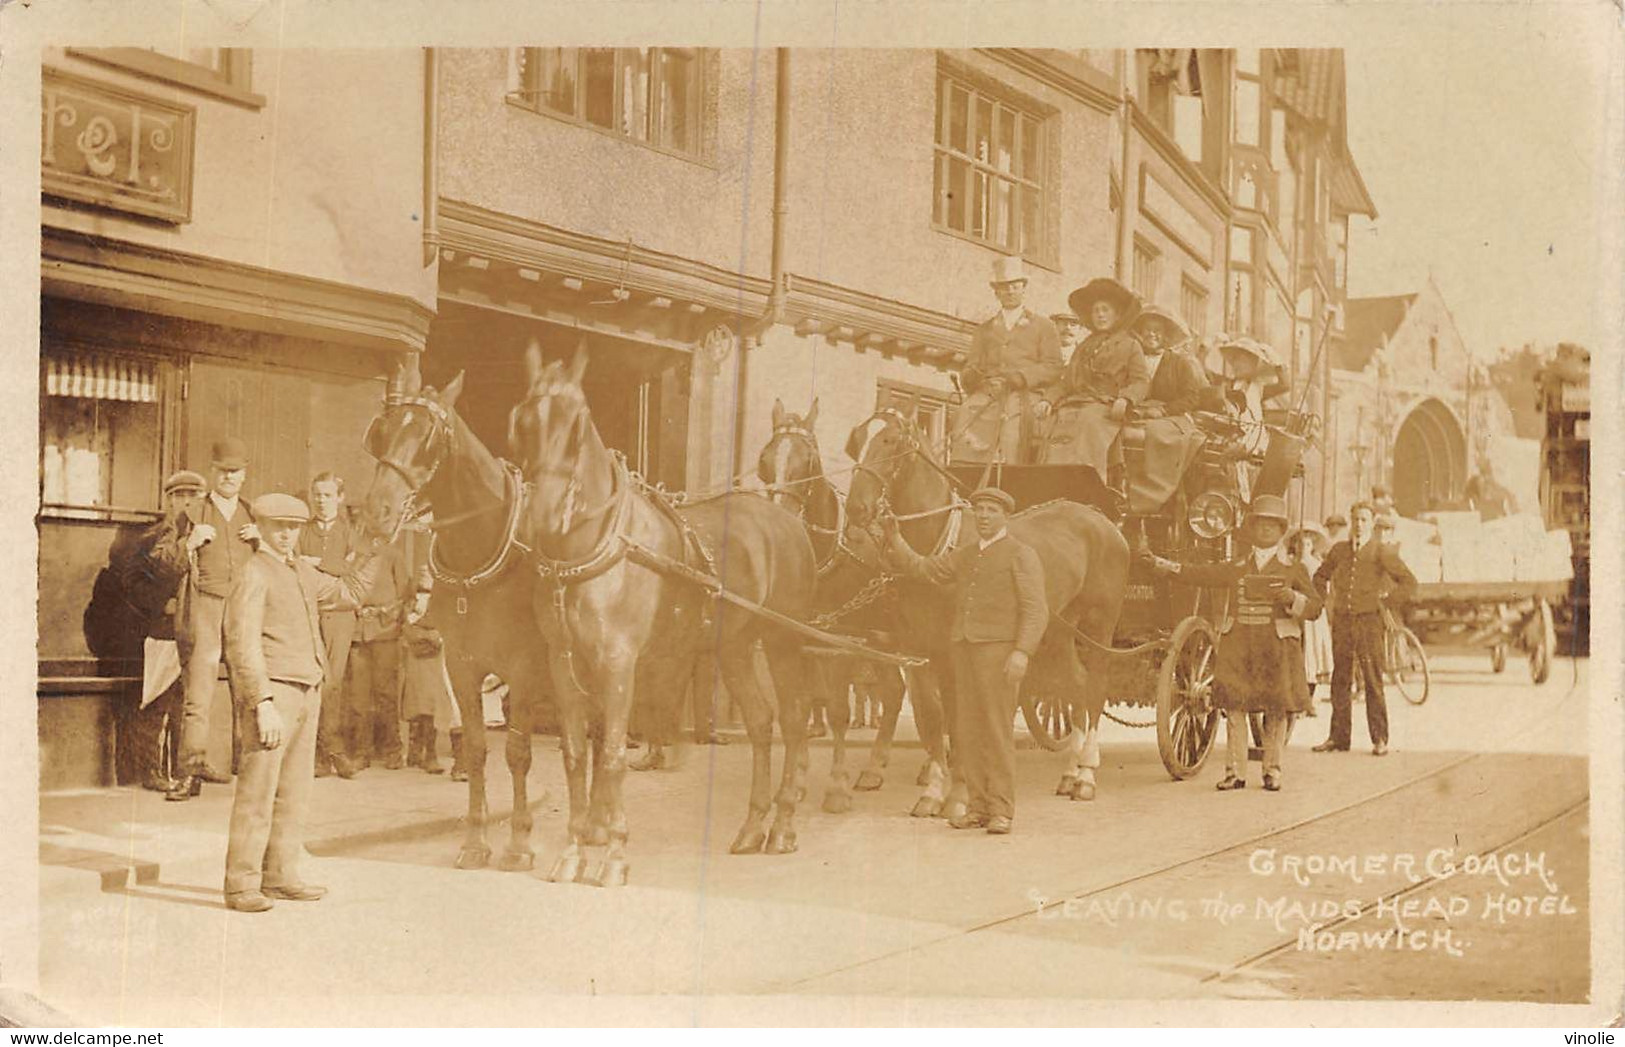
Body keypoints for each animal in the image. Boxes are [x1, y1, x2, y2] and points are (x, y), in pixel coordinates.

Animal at [359, 364, 549, 871]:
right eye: (381, 432)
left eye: (427, 435)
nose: (377, 512)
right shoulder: (462, 666)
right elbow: (479, 748)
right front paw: (475, 841)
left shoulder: (525, 668)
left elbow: (518, 752)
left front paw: (520, 843)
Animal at [510, 343, 819, 884]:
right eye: (525, 420)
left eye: (577, 423)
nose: (543, 515)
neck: (595, 548)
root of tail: (786, 518)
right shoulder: (564, 664)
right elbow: (576, 756)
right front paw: (573, 853)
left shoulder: (619, 664)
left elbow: (613, 754)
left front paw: (614, 855)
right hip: (734, 647)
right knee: (761, 722)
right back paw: (752, 827)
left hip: (782, 642)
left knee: (795, 722)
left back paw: (782, 826)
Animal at [845, 401, 1124, 803]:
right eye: (856, 442)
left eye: (891, 441)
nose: (856, 509)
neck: (938, 550)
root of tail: (1101, 518)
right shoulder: (917, 647)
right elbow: (932, 716)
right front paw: (934, 788)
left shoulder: (952, 650)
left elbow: (958, 715)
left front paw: (958, 790)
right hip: (1058, 628)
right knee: (1075, 684)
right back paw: (1070, 772)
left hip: (1100, 624)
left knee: (1095, 687)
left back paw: (1087, 773)